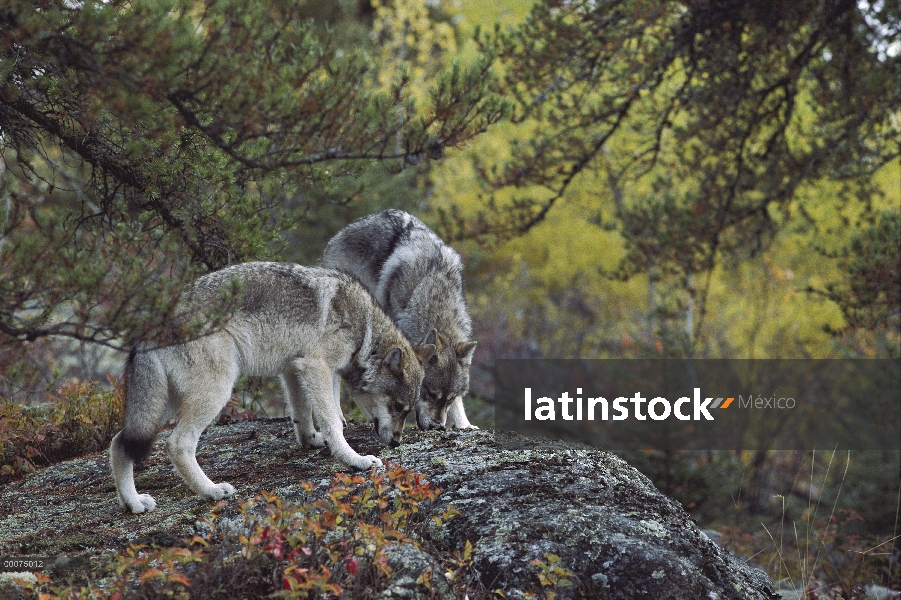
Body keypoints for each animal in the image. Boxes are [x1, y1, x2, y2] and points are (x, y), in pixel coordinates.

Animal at [110, 262, 436, 510]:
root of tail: (152, 321)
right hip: (214, 393)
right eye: (397, 407)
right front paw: (355, 460)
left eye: (407, 410)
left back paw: (134, 504)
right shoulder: (316, 366)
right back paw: (212, 491)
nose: (397, 442)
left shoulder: (294, 368)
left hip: (161, 407)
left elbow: (306, 415)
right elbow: (334, 420)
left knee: (118, 442)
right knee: (177, 445)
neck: (364, 328)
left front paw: (313, 441)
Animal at [322, 210, 478, 432]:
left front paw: (464, 424)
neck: (435, 294)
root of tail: (339, 234)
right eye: (429, 393)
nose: (437, 426)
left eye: (448, 398)